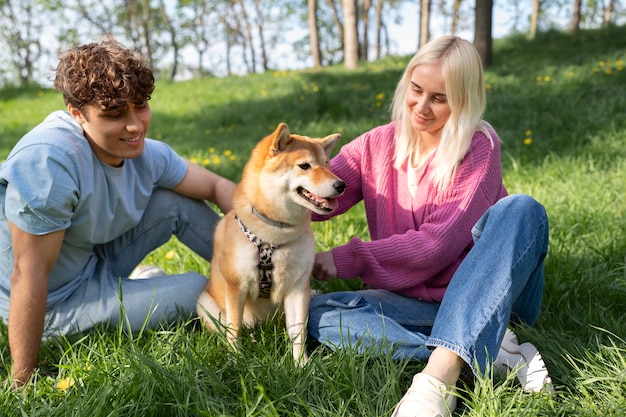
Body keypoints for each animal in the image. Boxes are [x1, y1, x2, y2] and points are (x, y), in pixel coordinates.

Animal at [197, 122, 344, 362]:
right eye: (304, 166)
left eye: (327, 164)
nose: (342, 185)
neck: (275, 235)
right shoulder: (236, 285)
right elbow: (234, 328)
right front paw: (237, 359)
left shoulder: (298, 287)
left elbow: (298, 332)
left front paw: (301, 364)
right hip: (206, 305)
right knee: (227, 328)